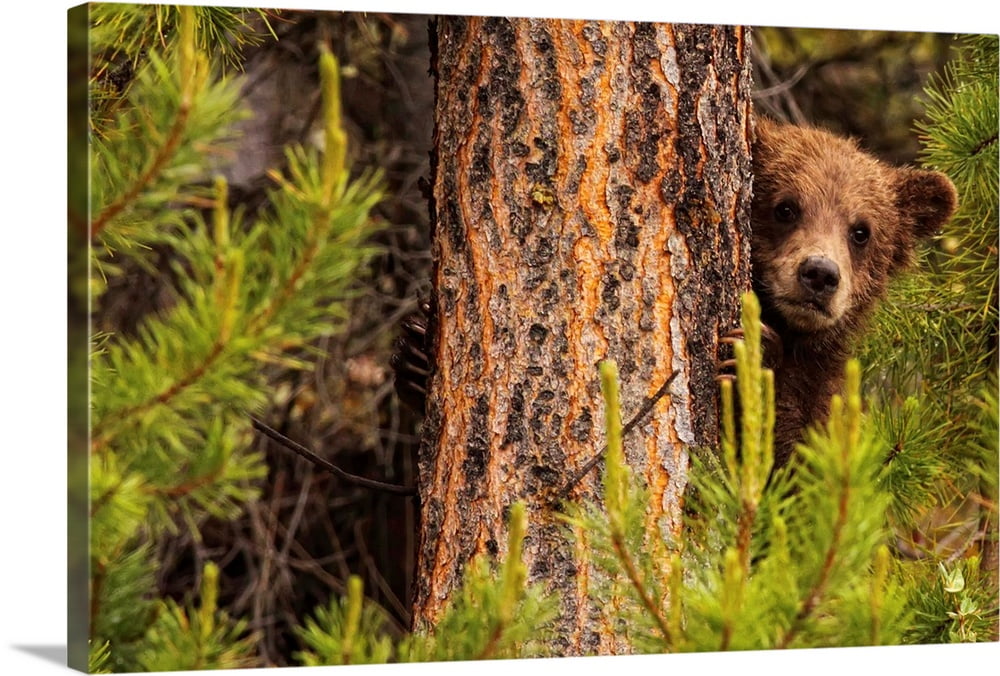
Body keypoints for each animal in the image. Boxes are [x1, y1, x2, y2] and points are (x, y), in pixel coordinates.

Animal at [392, 116, 959, 470]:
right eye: (785, 206)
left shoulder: (832, 413)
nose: (819, 274)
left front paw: (751, 358)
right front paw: (418, 349)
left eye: (861, 230)